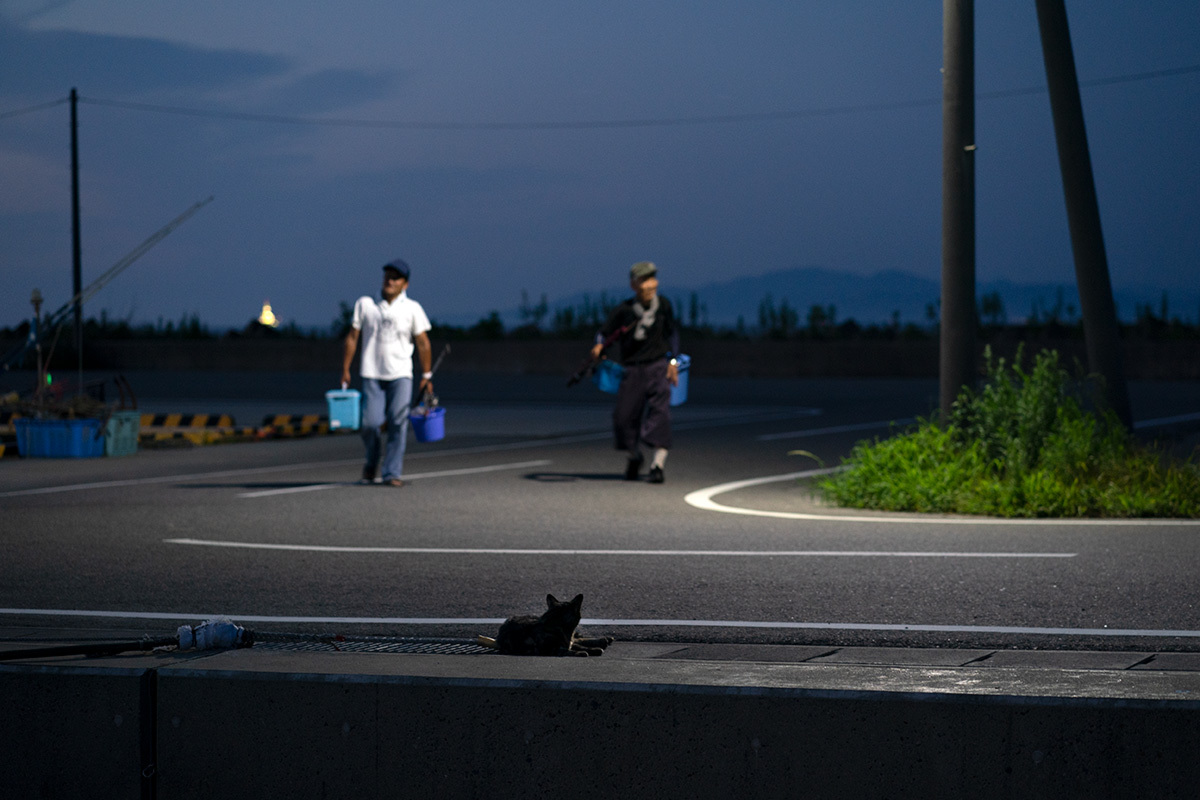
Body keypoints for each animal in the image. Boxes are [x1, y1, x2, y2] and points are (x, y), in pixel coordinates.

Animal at [484, 594, 614, 657]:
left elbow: (576, 645)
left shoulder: (567, 642)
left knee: (578, 638)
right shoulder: (550, 649)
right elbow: (568, 650)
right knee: (576, 640)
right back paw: (603, 641)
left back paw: (604, 639)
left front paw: (592, 649)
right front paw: (582, 652)